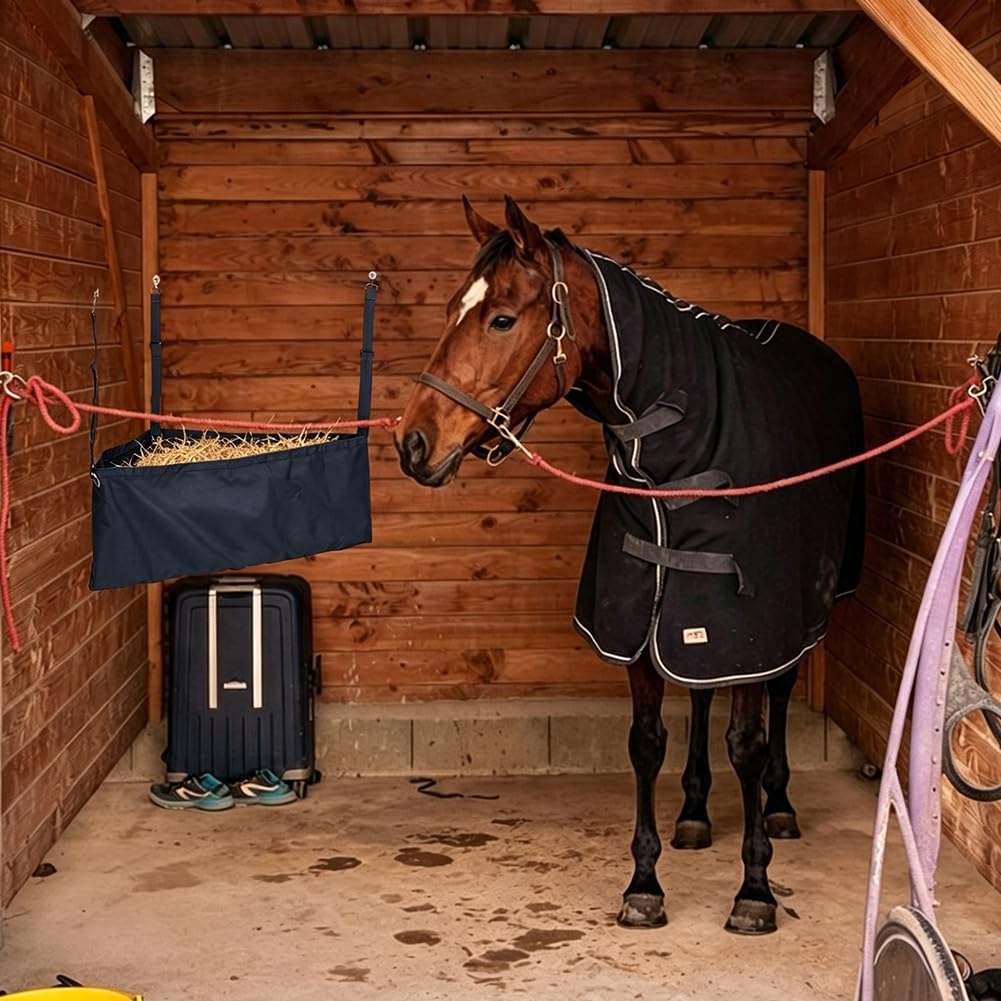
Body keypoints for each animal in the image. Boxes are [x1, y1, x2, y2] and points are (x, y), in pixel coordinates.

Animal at [395, 196, 865, 936]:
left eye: (501, 318)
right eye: (448, 309)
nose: (413, 443)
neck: (673, 452)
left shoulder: (748, 630)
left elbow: (747, 744)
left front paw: (754, 888)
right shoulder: (646, 618)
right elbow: (647, 741)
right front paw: (645, 882)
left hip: (798, 610)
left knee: (781, 691)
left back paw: (781, 805)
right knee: (698, 694)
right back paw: (695, 811)